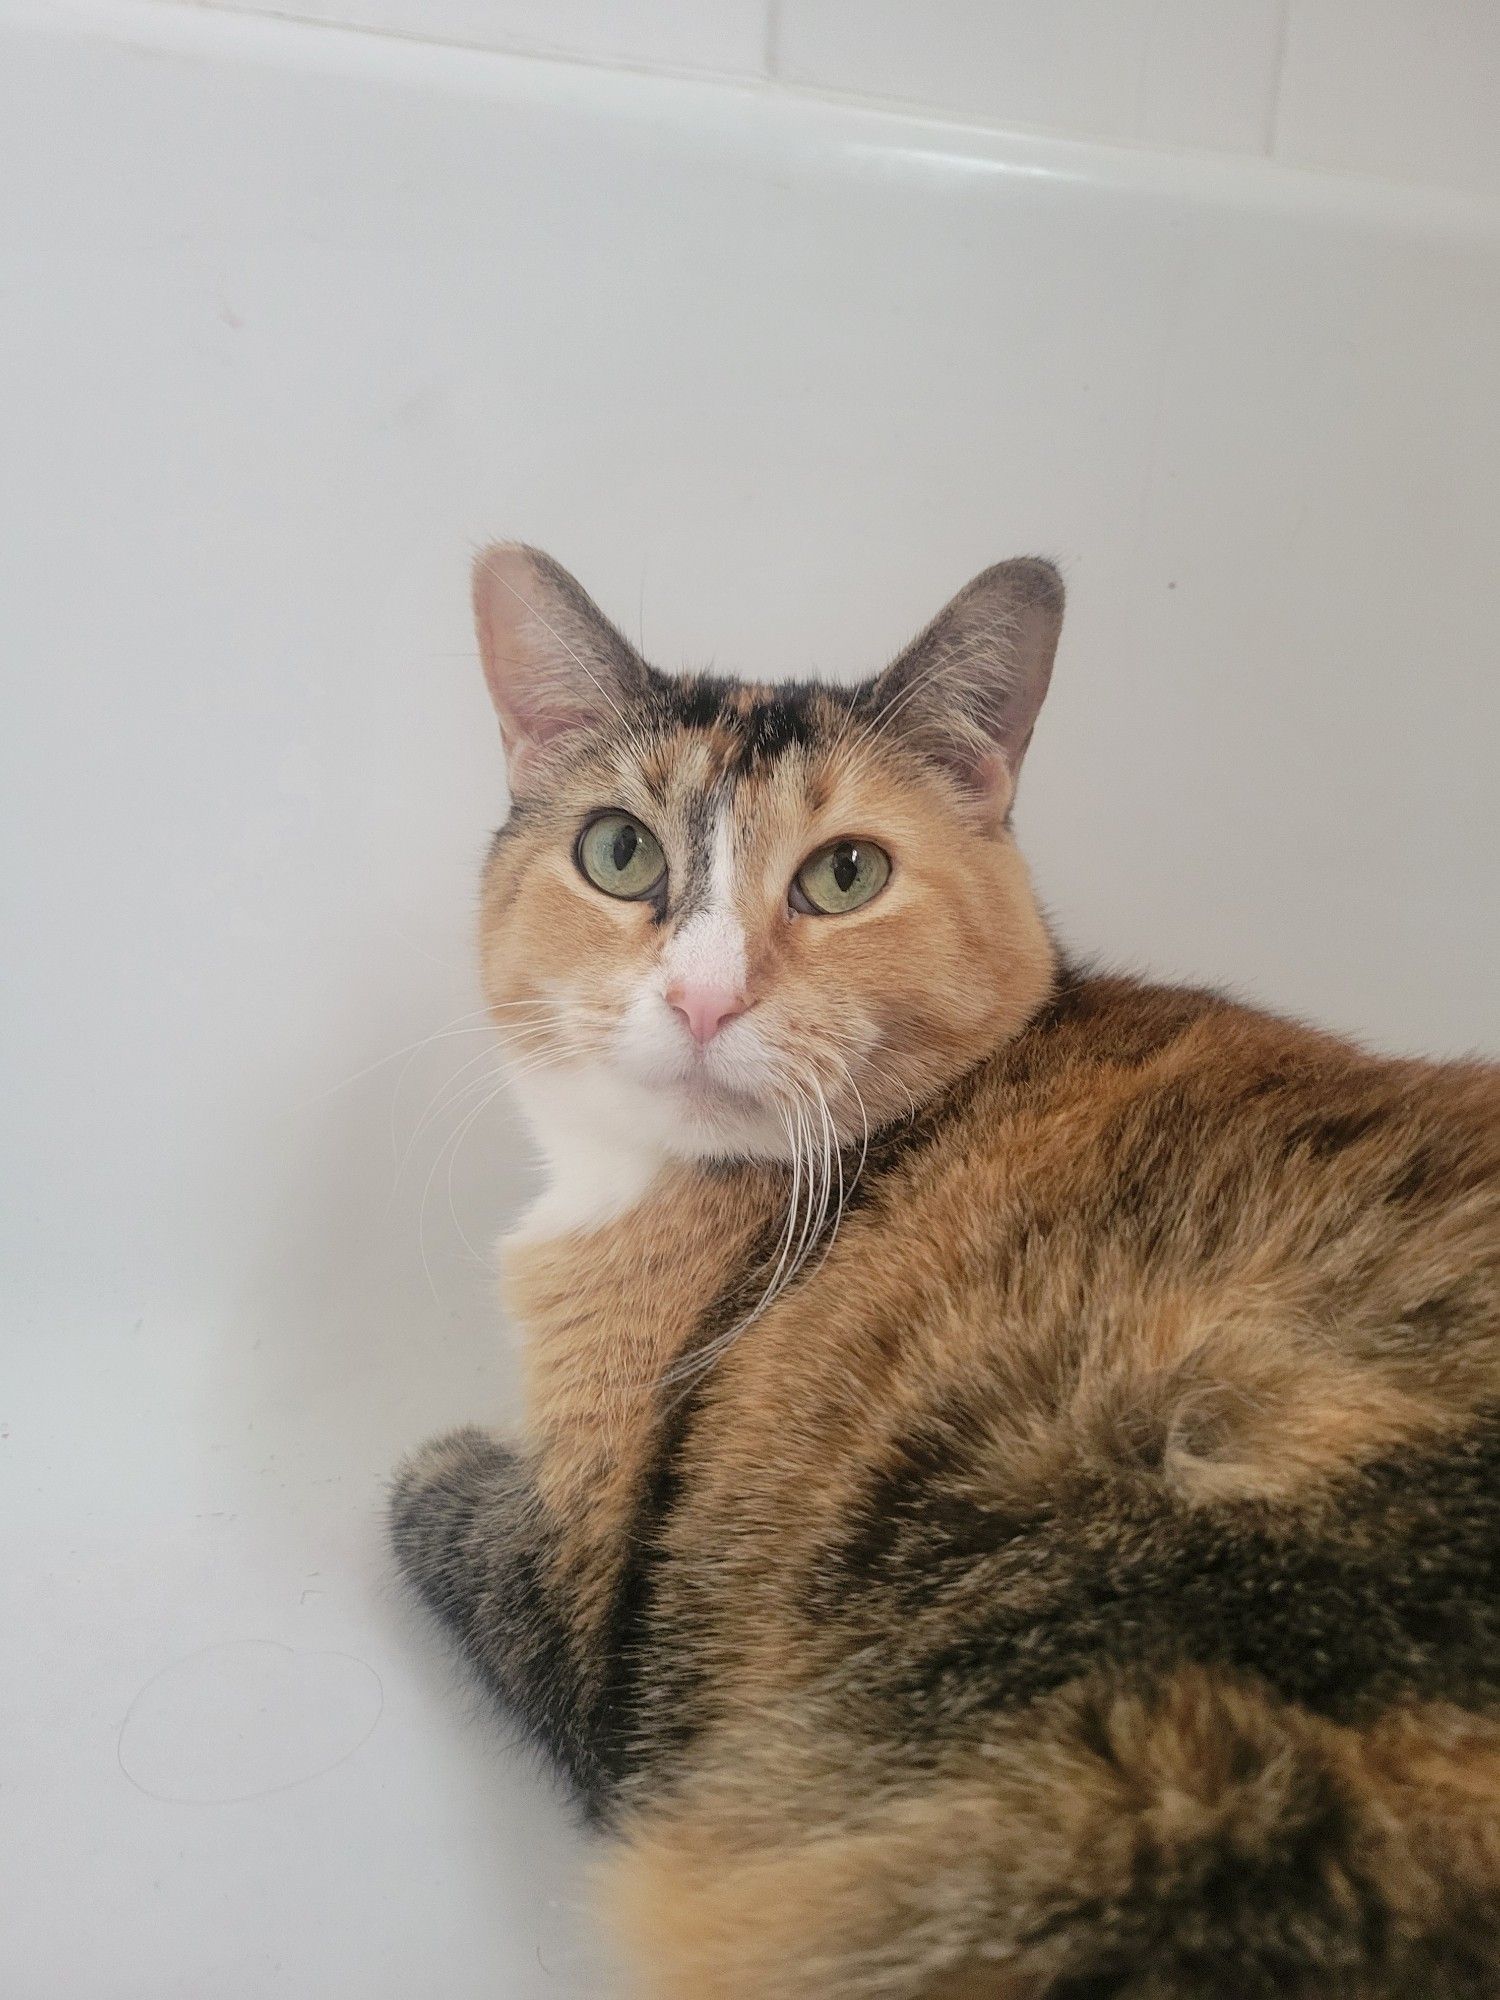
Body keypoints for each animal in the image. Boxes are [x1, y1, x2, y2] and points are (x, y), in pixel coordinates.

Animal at [390, 540, 1500, 1992]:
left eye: (846, 874)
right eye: (619, 851)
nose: (701, 996)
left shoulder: (583, 1599)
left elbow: (452, 1513)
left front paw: (436, 1458)